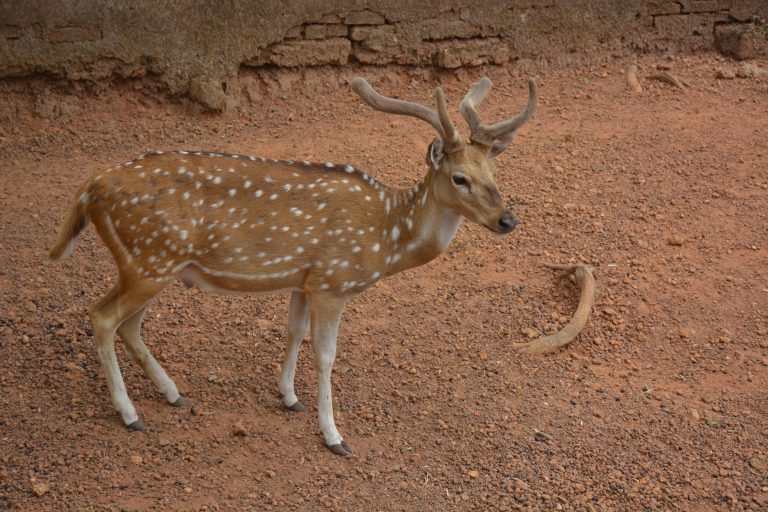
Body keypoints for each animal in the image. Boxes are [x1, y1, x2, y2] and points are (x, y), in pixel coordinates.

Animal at [49, 76, 536, 456]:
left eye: (493, 173)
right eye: (460, 178)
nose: (507, 220)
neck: (385, 236)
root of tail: (90, 189)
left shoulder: (304, 280)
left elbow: (293, 331)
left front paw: (289, 398)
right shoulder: (333, 281)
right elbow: (325, 354)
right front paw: (334, 436)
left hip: (153, 264)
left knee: (129, 325)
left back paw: (172, 394)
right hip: (149, 260)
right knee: (102, 317)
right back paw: (131, 415)